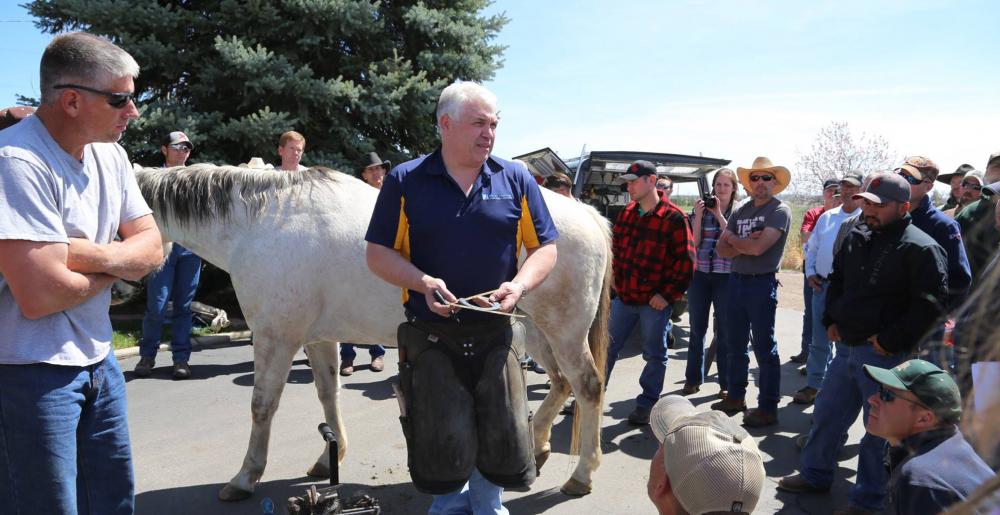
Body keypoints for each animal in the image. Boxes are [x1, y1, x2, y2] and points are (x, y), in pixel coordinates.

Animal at [137, 164, 612, 500]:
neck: (261, 224)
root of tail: (587, 214)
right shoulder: (318, 339)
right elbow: (328, 395)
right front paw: (328, 457)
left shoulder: (276, 337)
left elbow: (261, 407)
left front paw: (245, 476)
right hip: (535, 330)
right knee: (560, 382)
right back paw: (538, 446)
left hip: (563, 330)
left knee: (587, 386)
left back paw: (582, 475)